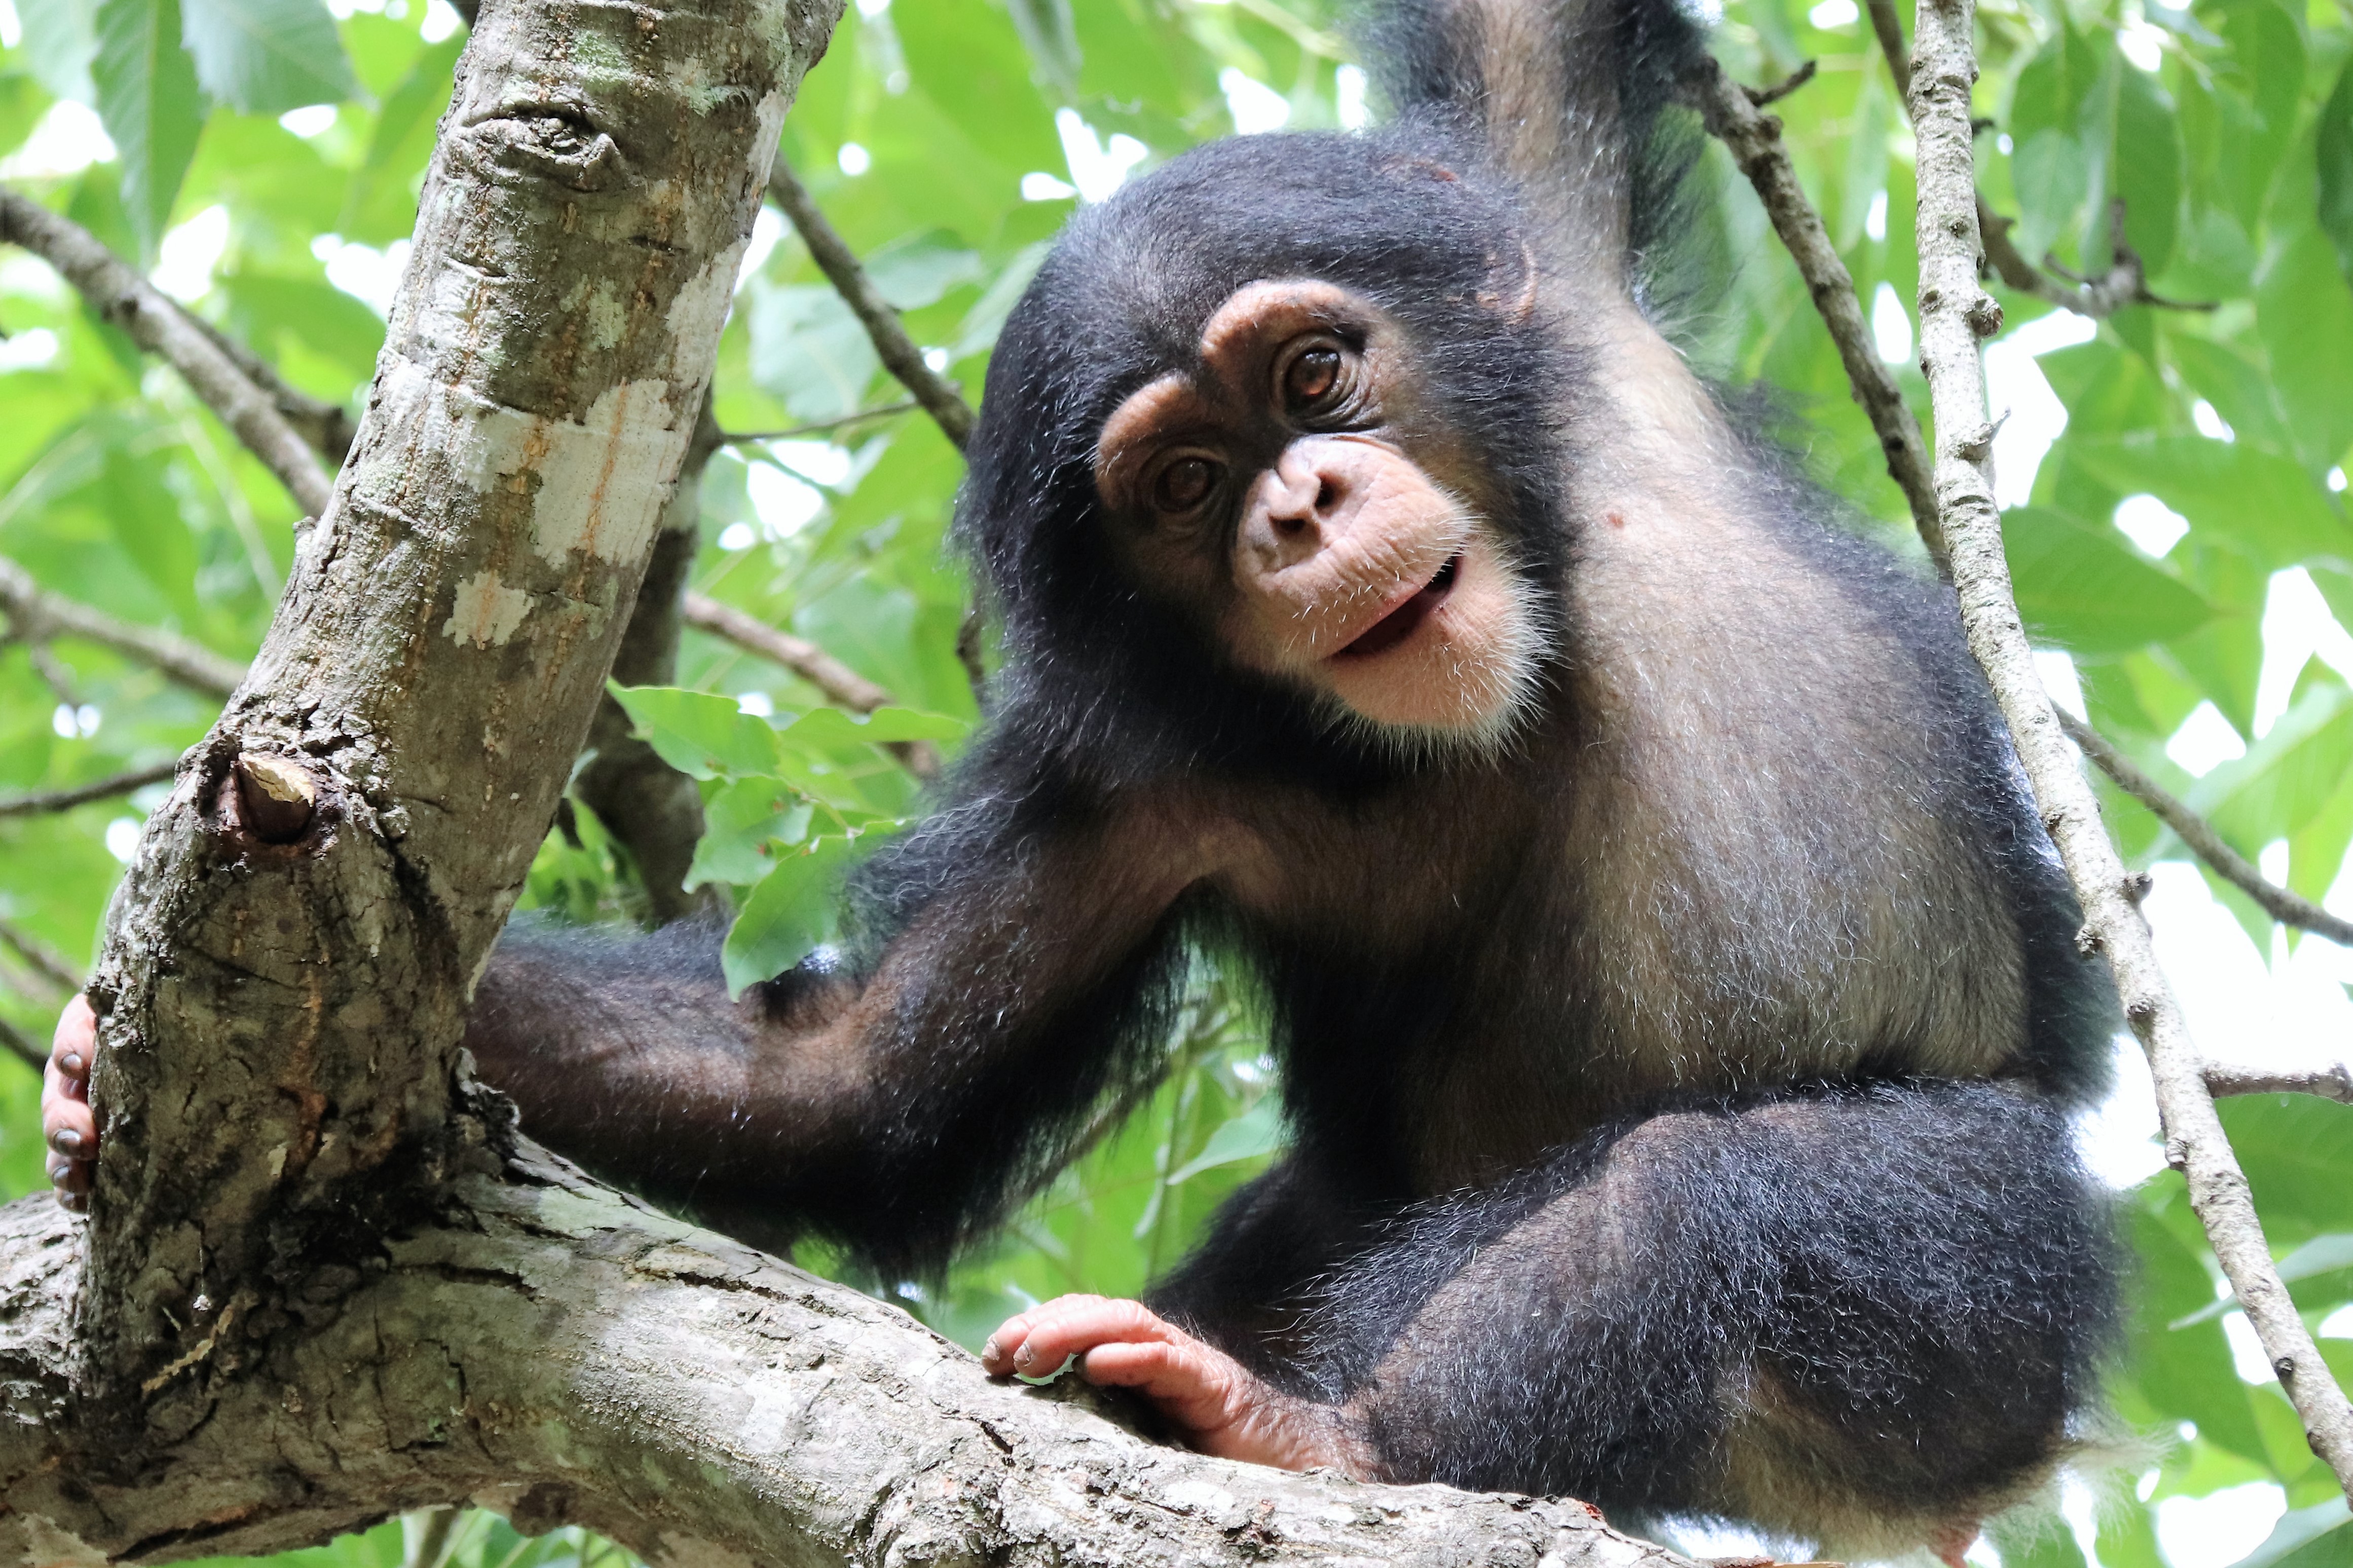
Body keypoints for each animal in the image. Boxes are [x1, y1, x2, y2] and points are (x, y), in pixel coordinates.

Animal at [46, 0, 2127, 1551]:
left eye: (1311, 376)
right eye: (1182, 486)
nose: (1298, 509)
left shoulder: (1534, 242)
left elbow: (1520, 37)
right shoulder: (1139, 801)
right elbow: (852, 1077)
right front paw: (95, 1055)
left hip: (1985, 1324)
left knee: (1724, 1202)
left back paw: (1318, 1434)